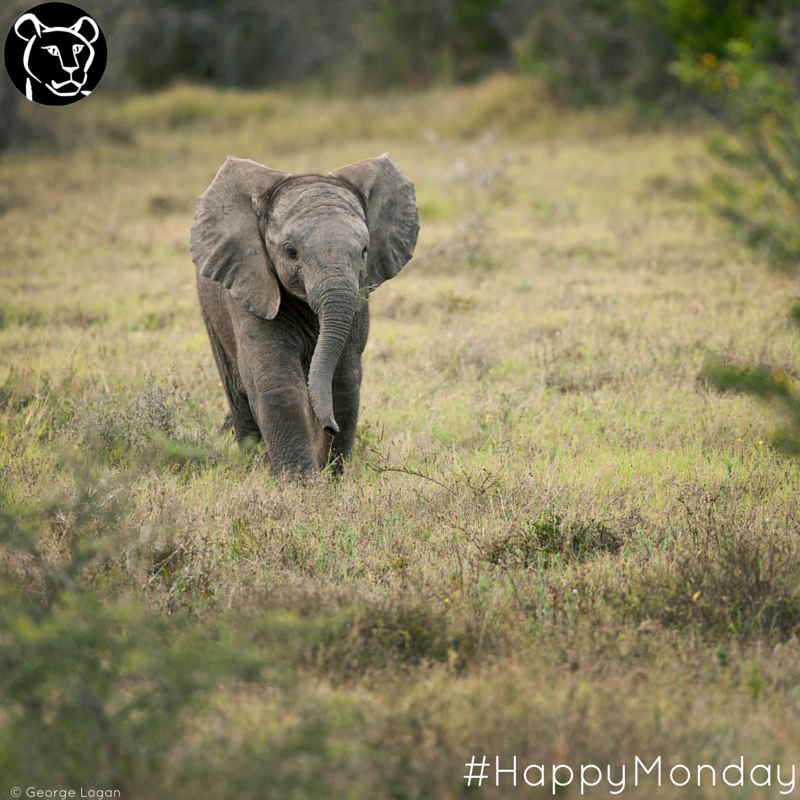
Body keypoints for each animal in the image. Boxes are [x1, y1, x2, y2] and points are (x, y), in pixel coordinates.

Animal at [190, 152, 419, 479]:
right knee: (237, 392)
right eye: (291, 253)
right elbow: (277, 382)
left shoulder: (358, 300)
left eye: (365, 251)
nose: (330, 427)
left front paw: (333, 478)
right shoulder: (253, 287)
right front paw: (303, 485)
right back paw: (251, 464)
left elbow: (343, 381)